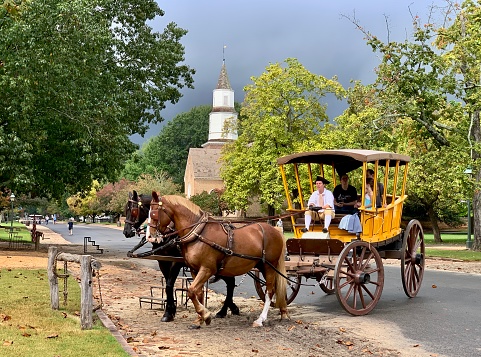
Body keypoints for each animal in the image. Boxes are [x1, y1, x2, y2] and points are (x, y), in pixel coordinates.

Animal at [122, 191, 238, 322]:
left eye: (133, 210)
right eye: (125, 209)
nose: (126, 231)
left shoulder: (176, 263)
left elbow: (169, 285)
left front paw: (168, 312)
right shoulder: (163, 262)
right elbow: (168, 285)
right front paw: (171, 309)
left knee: (230, 283)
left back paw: (223, 310)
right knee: (230, 282)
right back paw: (230, 308)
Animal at [146, 192, 286, 326]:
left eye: (153, 213)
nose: (149, 236)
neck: (199, 234)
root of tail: (275, 230)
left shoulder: (207, 269)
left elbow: (190, 291)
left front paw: (205, 314)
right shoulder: (194, 269)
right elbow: (198, 293)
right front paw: (200, 319)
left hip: (269, 266)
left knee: (269, 291)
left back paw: (260, 319)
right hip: (262, 266)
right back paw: (283, 312)